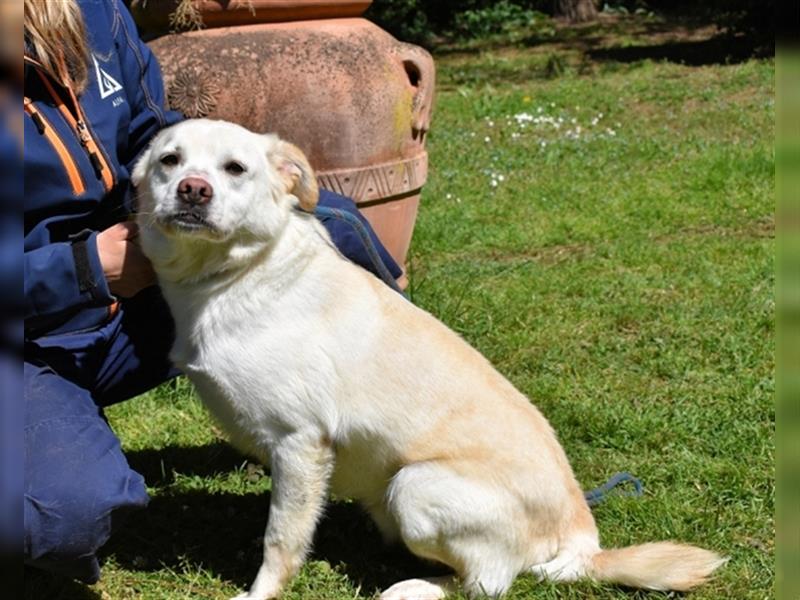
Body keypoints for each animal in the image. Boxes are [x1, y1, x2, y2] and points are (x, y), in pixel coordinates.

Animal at [136, 118, 724, 600]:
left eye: (235, 168)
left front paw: (260, 594)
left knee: (490, 581)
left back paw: (419, 586)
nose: (193, 189)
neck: (234, 278)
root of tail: (581, 537)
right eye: (170, 160)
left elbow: (280, 540)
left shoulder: (299, 443)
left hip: (413, 487)